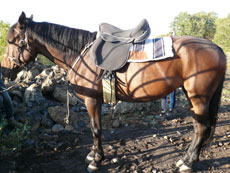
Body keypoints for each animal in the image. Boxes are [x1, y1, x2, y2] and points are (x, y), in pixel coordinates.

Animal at [0, 11, 226, 172]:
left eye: (12, 40)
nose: (5, 70)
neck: (80, 53)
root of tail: (217, 48)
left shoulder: (91, 100)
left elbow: (95, 130)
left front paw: (96, 160)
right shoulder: (96, 101)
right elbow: (96, 128)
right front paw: (94, 155)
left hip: (199, 98)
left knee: (201, 128)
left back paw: (187, 162)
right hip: (192, 96)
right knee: (199, 128)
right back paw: (187, 159)